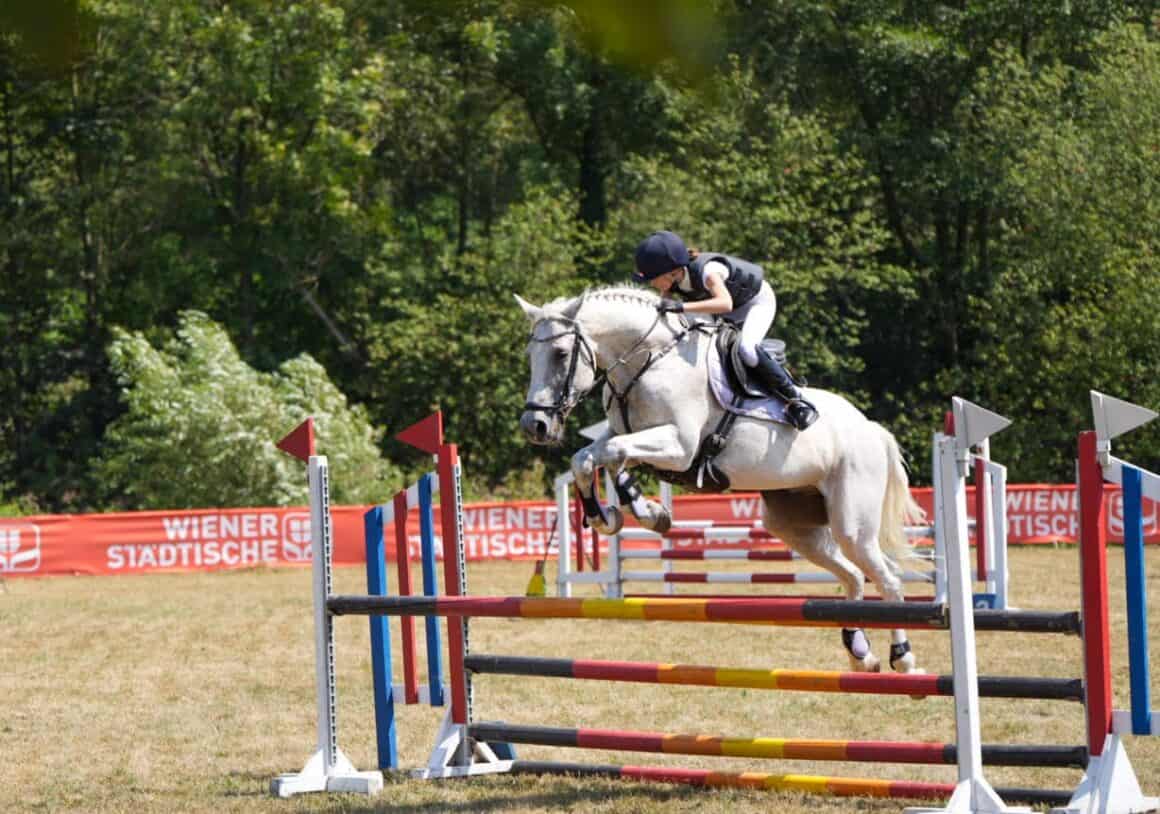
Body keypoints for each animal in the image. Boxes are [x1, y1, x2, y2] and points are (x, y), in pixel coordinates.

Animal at [515, 287, 923, 677]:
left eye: (561, 353)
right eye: (531, 354)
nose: (535, 425)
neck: (648, 361)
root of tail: (871, 428)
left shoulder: (679, 447)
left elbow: (613, 453)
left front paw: (633, 512)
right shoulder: (624, 435)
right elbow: (589, 458)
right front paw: (627, 515)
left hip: (852, 523)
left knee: (888, 578)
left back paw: (903, 658)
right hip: (793, 524)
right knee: (853, 576)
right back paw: (860, 655)